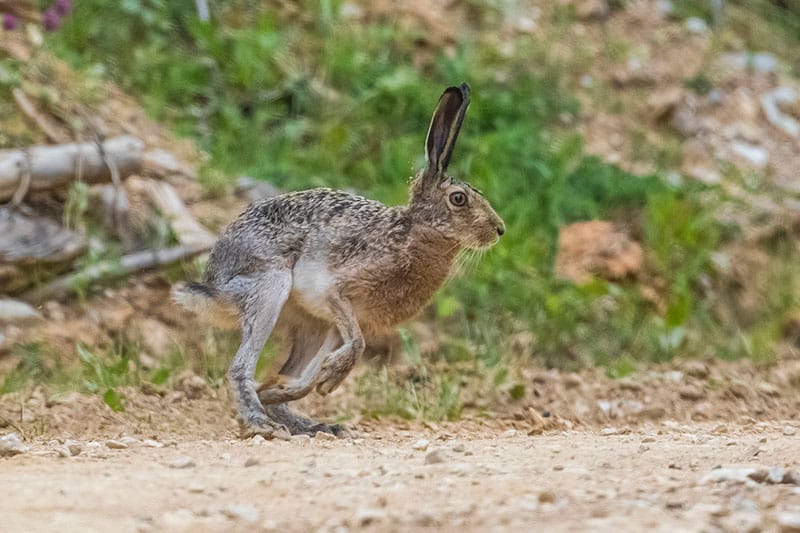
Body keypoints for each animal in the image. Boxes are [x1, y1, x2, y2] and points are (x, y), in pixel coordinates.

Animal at [172, 83, 505, 438]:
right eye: (459, 199)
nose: (500, 229)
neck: (410, 233)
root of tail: (214, 286)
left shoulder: (338, 316)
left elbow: (330, 360)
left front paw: (308, 383)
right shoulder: (337, 292)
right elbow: (357, 344)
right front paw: (326, 380)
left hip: (310, 323)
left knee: (293, 369)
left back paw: (305, 419)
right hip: (269, 287)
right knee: (240, 366)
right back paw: (260, 420)